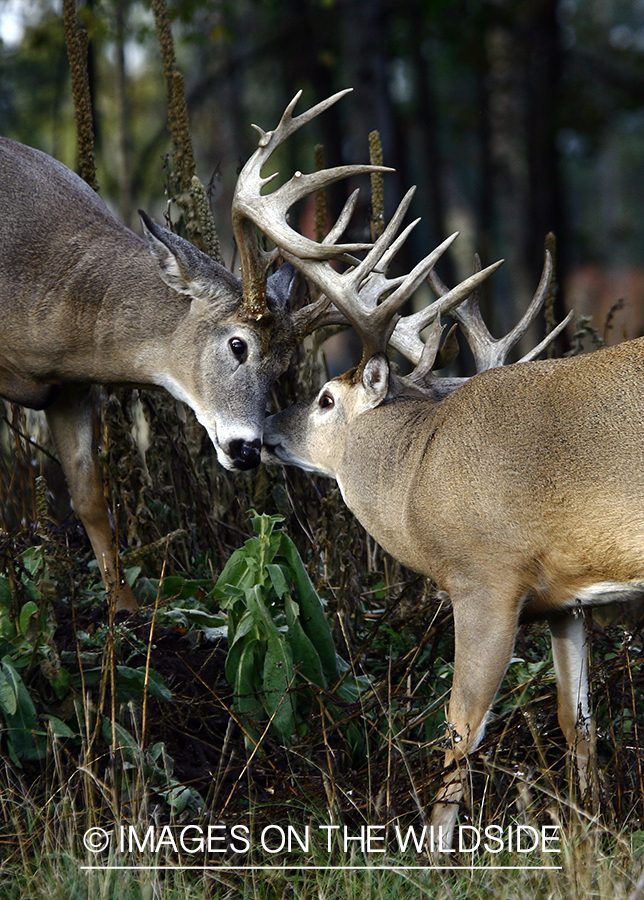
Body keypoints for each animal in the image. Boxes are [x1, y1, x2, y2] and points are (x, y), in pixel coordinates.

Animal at [0, 89, 382, 612]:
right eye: (237, 344)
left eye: (284, 366)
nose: (247, 450)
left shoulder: (71, 388)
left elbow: (91, 498)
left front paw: (126, 610)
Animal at [255, 185, 640, 852]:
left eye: (326, 398)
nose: (270, 429)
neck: (417, 478)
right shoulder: (565, 600)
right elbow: (577, 720)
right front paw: (592, 831)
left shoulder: (487, 578)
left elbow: (461, 725)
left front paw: (432, 851)